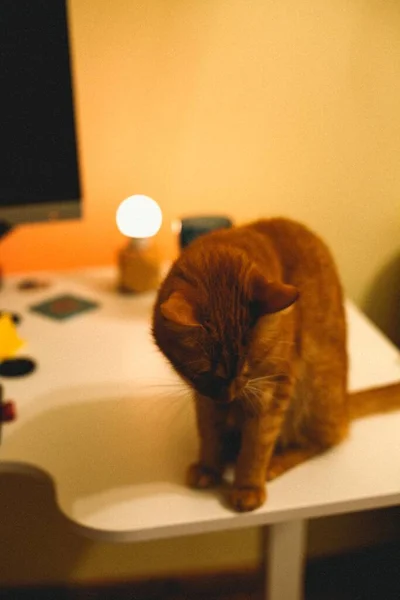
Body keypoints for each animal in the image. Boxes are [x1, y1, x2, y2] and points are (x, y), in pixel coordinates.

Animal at [151, 219, 400, 510]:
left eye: (249, 367)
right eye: (202, 372)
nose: (229, 396)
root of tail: (344, 405)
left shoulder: (271, 389)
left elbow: (257, 445)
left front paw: (247, 486)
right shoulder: (204, 397)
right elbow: (209, 433)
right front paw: (209, 467)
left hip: (315, 393)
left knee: (323, 440)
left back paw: (275, 463)